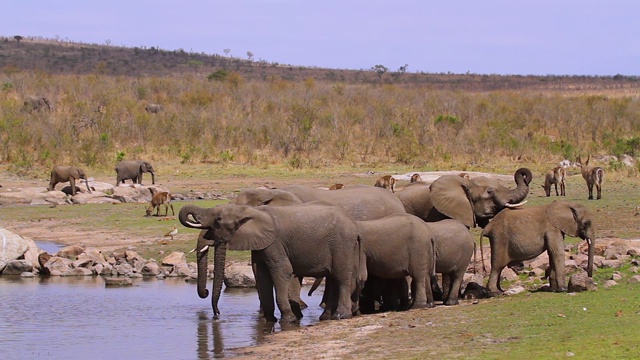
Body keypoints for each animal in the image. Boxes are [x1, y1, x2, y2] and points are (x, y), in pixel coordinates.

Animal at [178, 202, 362, 324]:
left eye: (218, 220)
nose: (217, 315)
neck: (251, 210)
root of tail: (353, 223)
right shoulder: (261, 243)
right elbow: (261, 274)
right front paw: (269, 320)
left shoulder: (274, 242)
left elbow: (281, 270)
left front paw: (288, 320)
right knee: (333, 279)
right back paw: (326, 318)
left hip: (342, 243)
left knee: (341, 277)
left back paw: (341, 316)